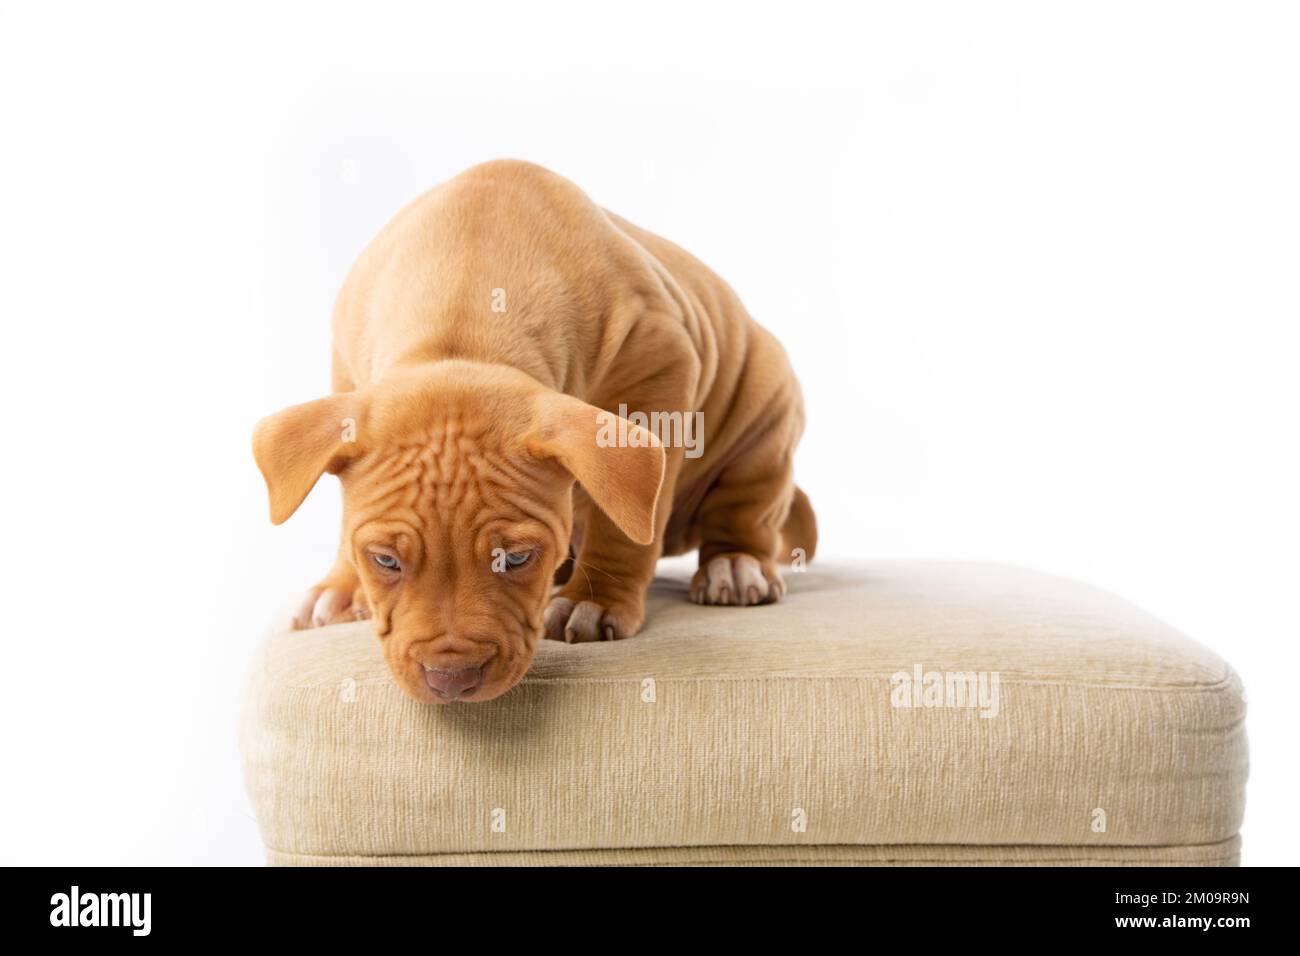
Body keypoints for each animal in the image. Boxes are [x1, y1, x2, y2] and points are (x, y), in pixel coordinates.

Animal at [252, 158, 811, 702]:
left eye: (517, 558)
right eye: (385, 561)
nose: (451, 678)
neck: (464, 329)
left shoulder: (660, 375)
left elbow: (625, 523)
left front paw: (595, 601)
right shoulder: (346, 379)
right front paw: (343, 587)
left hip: (764, 416)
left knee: (746, 508)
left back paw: (734, 565)